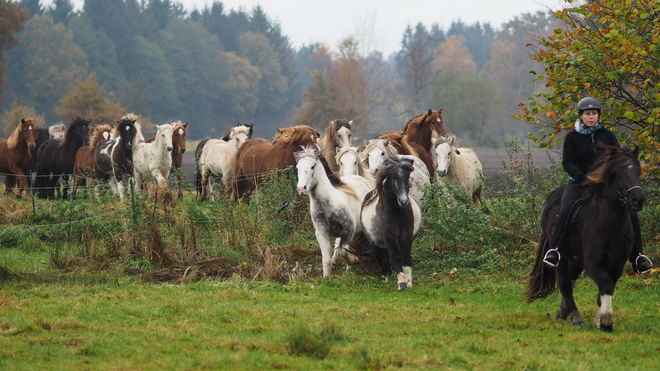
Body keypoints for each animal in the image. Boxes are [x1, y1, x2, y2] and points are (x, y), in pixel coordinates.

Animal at [292, 147, 372, 278]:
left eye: (313, 166)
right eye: (298, 167)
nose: (301, 189)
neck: (328, 205)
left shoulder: (347, 230)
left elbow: (341, 251)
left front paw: (354, 260)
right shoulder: (322, 234)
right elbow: (326, 259)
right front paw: (326, 278)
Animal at [360, 155, 422, 292]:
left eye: (407, 176)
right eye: (393, 177)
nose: (403, 201)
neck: (397, 212)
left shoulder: (407, 236)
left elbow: (406, 259)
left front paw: (409, 283)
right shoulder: (390, 237)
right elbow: (397, 257)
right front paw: (401, 283)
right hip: (375, 243)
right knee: (382, 259)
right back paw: (386, 278)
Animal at [524, 147, 644, 332]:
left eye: (638, 171)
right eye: (617, 174)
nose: (638, 200)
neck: (610, 226)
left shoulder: (617, 265)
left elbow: (605, 287)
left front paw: (599, 321)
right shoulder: (593, 264)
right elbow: (606, 284)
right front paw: (606, 321)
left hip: (576, 259)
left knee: (571, 280)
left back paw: (562, 312)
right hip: (561, 257)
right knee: (565, 284)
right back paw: (575, 317)